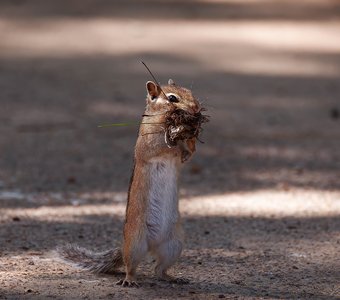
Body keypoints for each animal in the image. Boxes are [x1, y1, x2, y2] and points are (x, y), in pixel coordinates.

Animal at [57, 78, 205, 288]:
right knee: (131, 265)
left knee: (159, 269)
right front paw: (176, 138)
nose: (196, 109)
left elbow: (186, 154)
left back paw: (173, 278)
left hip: (174, 244)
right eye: (172, 98)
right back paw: (130, 280)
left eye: (190, 92)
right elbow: (161, 147)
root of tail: (151, 245)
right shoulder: (147, 142)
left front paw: (189, 141)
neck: (160, 121)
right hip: (136, 241)